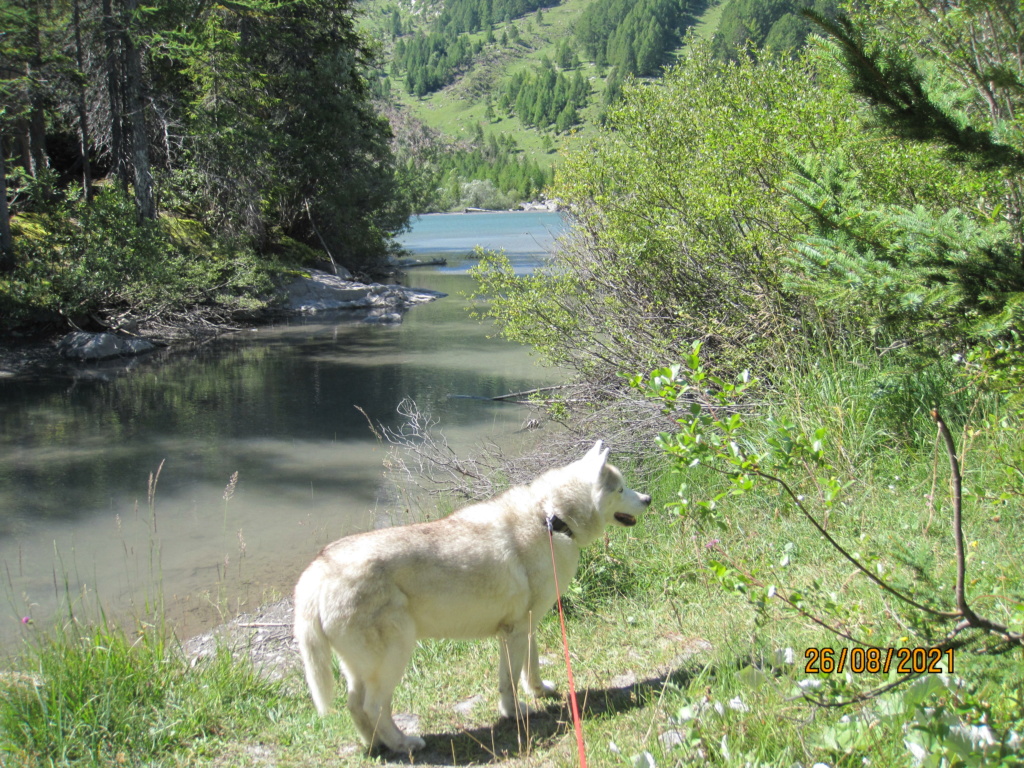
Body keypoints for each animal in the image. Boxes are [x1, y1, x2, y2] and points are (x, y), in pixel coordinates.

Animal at [292, 442, 651, 753]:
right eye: (621, 490)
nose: (648, 498)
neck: (553, 519)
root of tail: (316, 570)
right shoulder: (515, 631)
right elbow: (509, 681)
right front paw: (515, 712)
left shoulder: (527, 625)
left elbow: (530, 667)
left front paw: (539, 691)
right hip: (396, 654)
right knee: (373, 705)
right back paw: (403, 743)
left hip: (364, 668)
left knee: (356, 706)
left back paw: (376, 745)